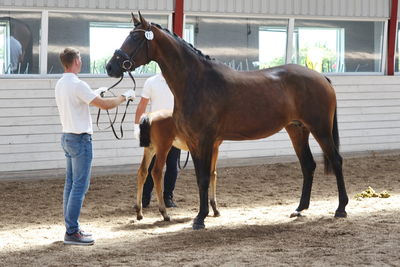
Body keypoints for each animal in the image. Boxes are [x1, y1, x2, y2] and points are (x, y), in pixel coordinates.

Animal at [106, 12, 346, 230]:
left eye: (134, 38)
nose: (110, 67)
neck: (197, 81)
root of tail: (321, 77)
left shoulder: (205, 141)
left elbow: (205, 177)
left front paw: (201, 218)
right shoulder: (194, 142)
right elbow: (200, 178)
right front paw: (202, 214)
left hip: (320, 129)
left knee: (336, 160)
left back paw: (341, 209)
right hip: (297, 129)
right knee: (308, 165)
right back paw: (299, 209)